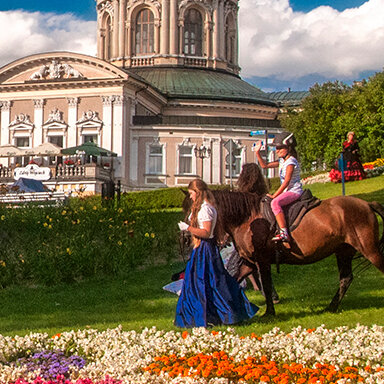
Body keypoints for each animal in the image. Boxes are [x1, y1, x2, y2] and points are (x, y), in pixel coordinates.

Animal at [182, 188, 384, 316]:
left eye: (194, 209)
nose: (186, 236)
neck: (247, 218)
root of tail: (367, 204)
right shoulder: (249, 263)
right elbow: (234, 279)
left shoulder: (262, 261)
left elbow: (266, 284)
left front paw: (269, 312)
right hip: (343, 251)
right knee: (346, 278)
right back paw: (331, 307)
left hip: (369, 250)